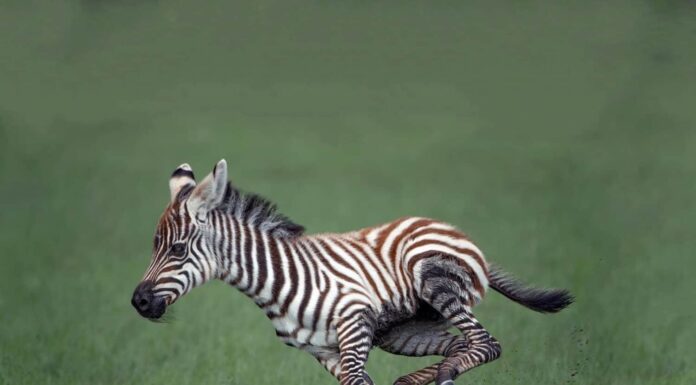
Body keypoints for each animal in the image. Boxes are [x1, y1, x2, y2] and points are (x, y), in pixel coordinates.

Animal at [130, 159, 572, 384]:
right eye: (154, 247)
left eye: (177, 249)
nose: (139, 302)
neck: (276, 281)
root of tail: (450, 229)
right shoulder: (323, 352)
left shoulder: (355, 325)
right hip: (401, 331)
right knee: (459, 345)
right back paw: (424, 378)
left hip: (432, 278)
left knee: (485, 343)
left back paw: (442, 374)